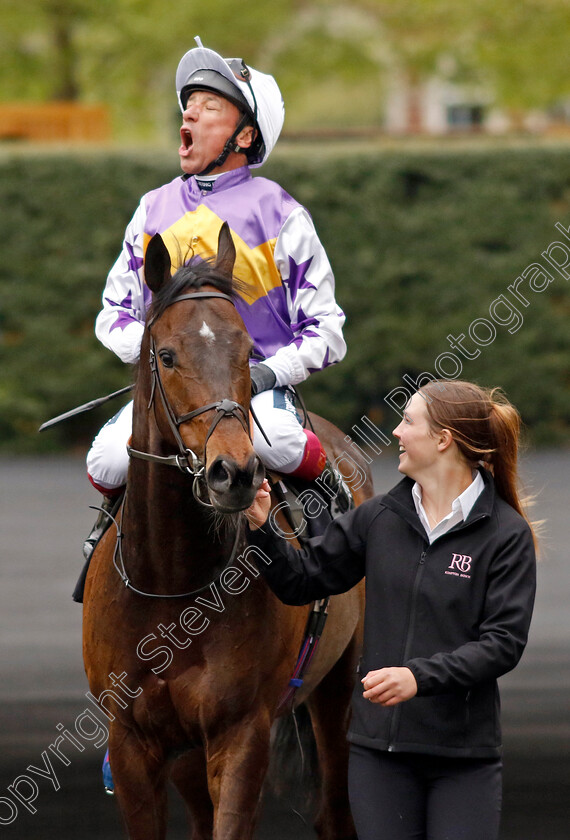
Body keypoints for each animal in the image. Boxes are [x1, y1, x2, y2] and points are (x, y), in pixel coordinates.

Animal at [81, 223, 372, 840]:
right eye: (166, 355)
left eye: (246, 352)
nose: (233, 473)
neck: (171, 587)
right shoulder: (132, 740)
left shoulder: (241, 732)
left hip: (337, 686)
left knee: (335, 807)